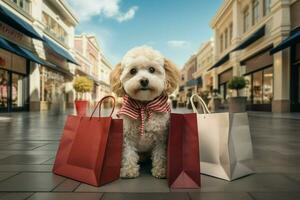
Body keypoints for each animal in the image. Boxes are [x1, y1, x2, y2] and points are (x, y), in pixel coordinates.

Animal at [110, 45, 179, 178]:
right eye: (133, 71)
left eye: (152, 69)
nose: (144, 80)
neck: (144, 106)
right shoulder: (127, 137)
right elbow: (128, 154)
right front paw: (129, 170)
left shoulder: (161, 137)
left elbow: (160, 155)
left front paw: (161, 170)